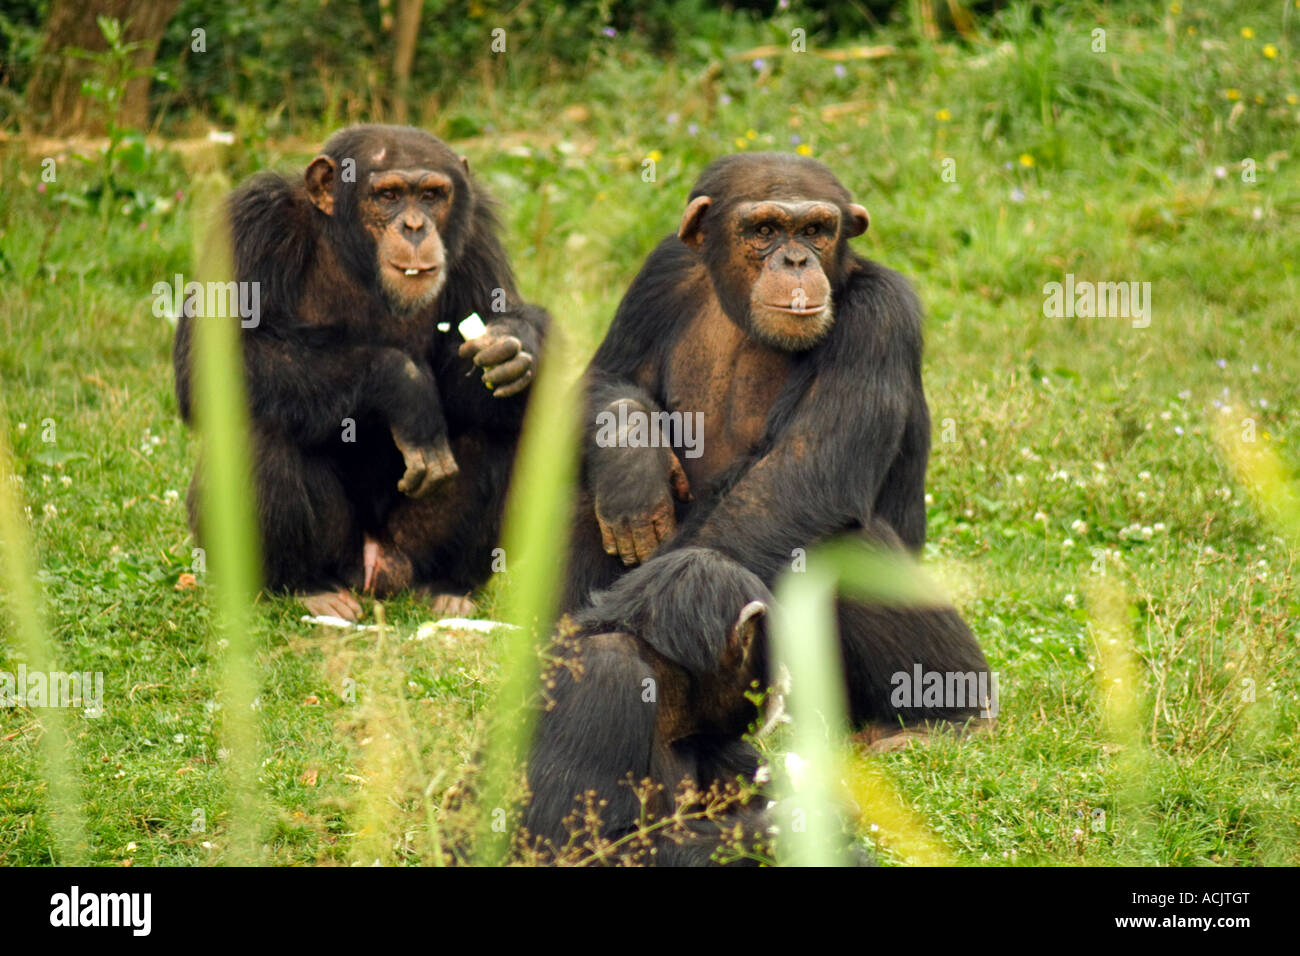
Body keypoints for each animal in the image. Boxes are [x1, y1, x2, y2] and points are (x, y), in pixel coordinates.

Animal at [174, 125, 548, 621]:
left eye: (432, 195)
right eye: (388, 195)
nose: (415, 227)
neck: (353, 256)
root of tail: (376, 570)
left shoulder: (479, 235)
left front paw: (515, 345)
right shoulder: (253, 224)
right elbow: (213, 359)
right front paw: (404, 387)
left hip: (410, 548)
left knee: (503, 428)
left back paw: (448, 586)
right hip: (337, 553)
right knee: (261, 425)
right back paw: (307, 586)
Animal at [564, 151, 987, 733]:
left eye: (816, 230)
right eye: (763, 230)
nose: (794, 260)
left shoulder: (881, 314)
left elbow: (803, 474)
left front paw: (645, 608)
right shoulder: (661, 271)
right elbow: (608, 374)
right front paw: (633, 464)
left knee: (837, 537)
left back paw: (946, 715)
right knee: (589, 492)